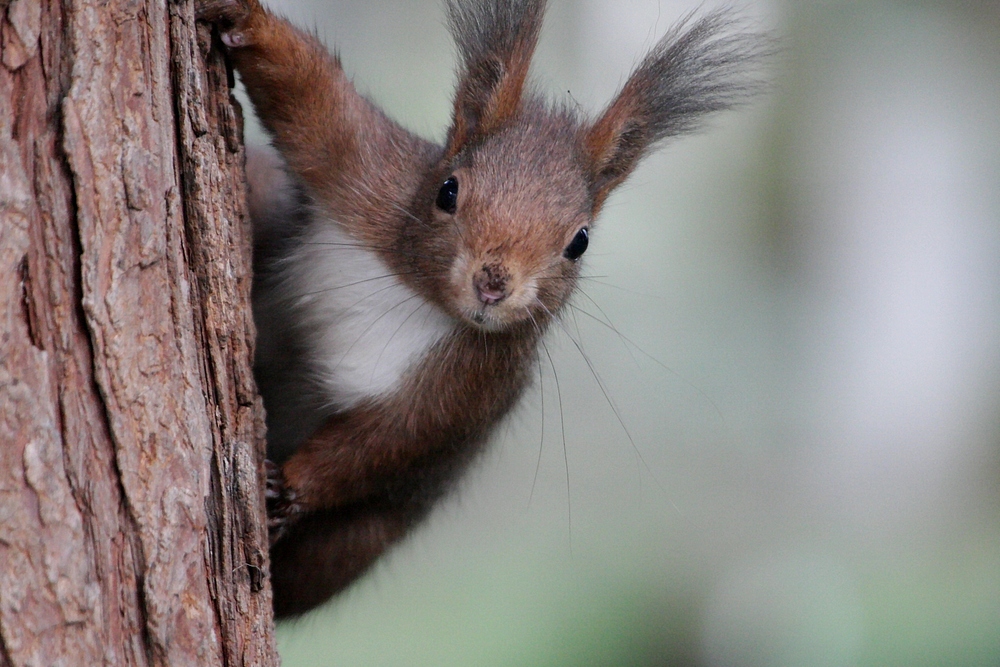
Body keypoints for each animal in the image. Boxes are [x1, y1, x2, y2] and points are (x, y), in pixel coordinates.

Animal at [199, 0, 768, 616]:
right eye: (448, 190)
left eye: (580, 241)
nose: (493, 284)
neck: (417, 292)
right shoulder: (367, 175)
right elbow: (312, 102)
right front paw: (243, 19)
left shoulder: (480, 378)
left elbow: (390, 441)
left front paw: (291, 487)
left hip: (356, 541)